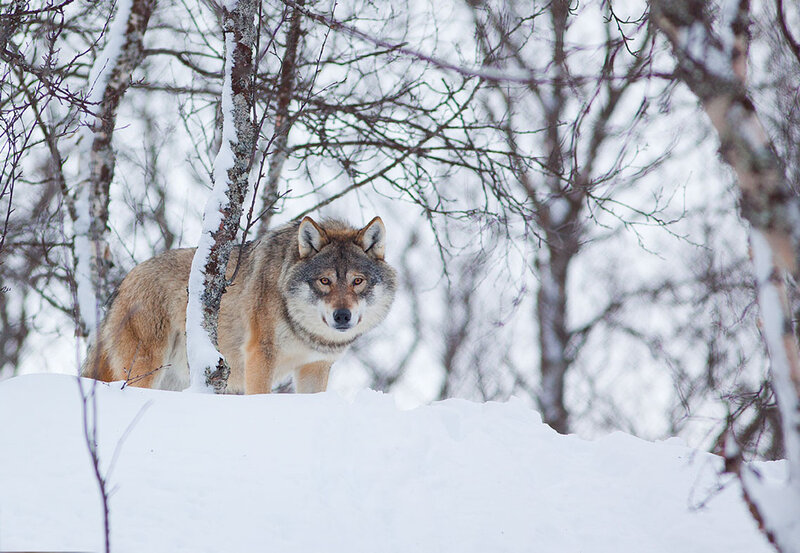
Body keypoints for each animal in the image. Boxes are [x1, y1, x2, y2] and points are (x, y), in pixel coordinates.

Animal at [83, 216, 397, 394]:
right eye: (325, 281)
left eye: (357, 281)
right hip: (146, 369)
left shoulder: (315, 366)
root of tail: (124, 281)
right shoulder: (260, 355)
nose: (342, 316)